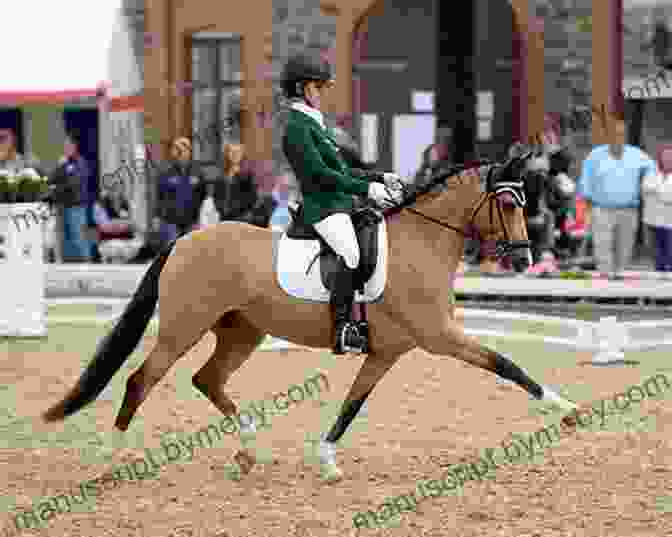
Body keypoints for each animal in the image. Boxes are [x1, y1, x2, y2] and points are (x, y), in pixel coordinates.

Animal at [43, 148, 576, 482]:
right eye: (507, 202)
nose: (524, 260)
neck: (421, 243)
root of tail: (183, 239)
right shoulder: (440, 336)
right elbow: (506, 365)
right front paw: (566, 409)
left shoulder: (386, 352)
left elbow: (352, 405)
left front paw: (327, 460)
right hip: (183, 327)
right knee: (142, 380)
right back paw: (112, 459)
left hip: (241, 331)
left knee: (206, 379)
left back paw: (247, 449)